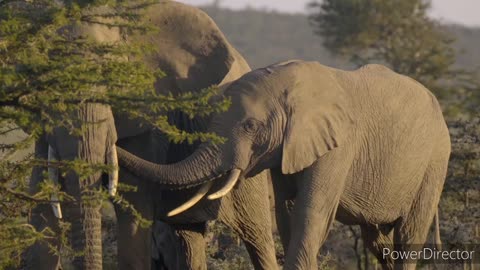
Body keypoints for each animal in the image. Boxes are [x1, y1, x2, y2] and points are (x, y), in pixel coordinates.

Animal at [118, 60, 452, 268]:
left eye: (250, 126)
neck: (291, 85)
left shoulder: (338, 146)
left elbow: (310, 211)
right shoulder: (287, 150)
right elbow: (287, 211)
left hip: (435, 161)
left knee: (408, 235)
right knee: (376, 239)